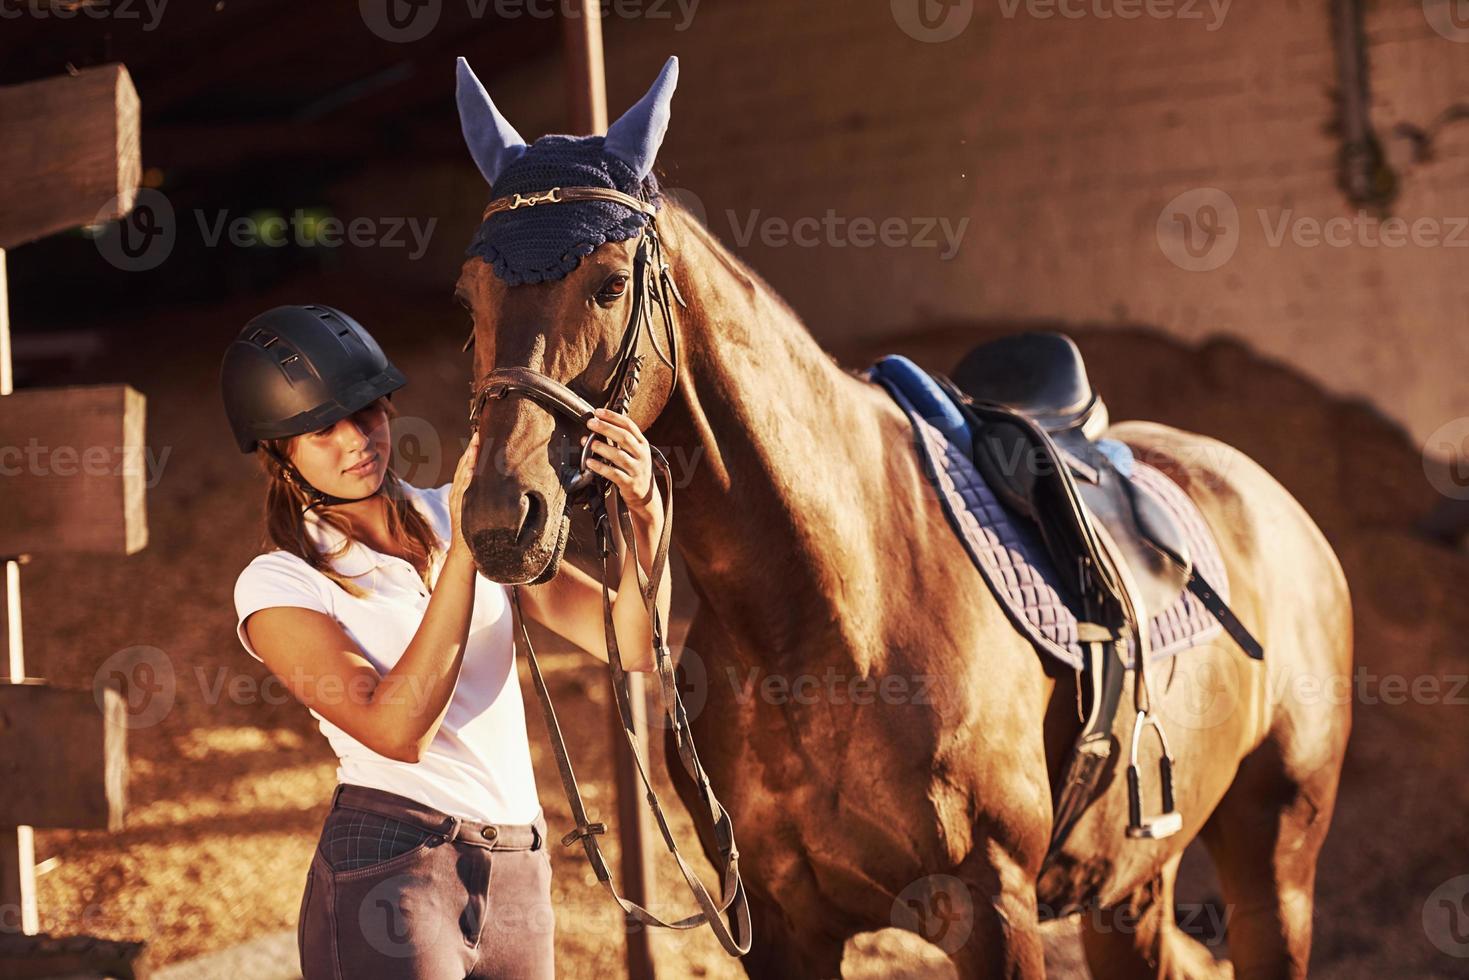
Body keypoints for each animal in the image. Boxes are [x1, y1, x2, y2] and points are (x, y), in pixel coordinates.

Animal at [452, 69, 1345, 980]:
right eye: (470, 296)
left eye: (607, 284)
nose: (498, 514)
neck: (832, 606)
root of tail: (1273, 505)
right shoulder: (779, 921)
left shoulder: (993, 910)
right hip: (1126, 886)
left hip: (1276, 866)